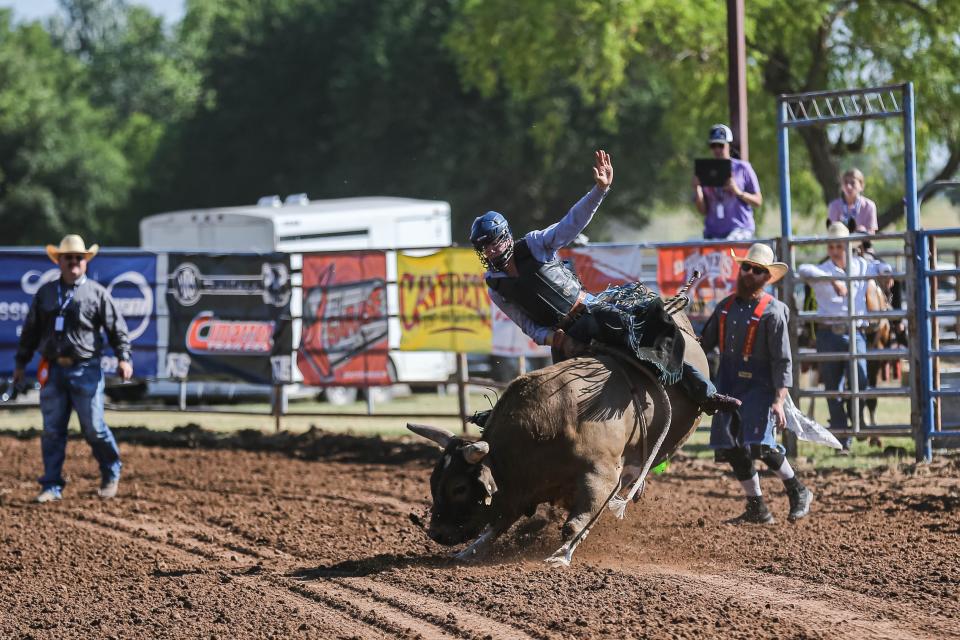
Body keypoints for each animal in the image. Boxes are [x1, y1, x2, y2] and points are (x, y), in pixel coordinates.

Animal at [408, 310, 708, 564]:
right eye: (434, 480)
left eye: (459, 487)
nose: (435, 532)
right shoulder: (519, 489)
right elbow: (497, 524)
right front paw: (468, 552)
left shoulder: (602, 477)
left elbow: (574, 524)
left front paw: (560, 557)